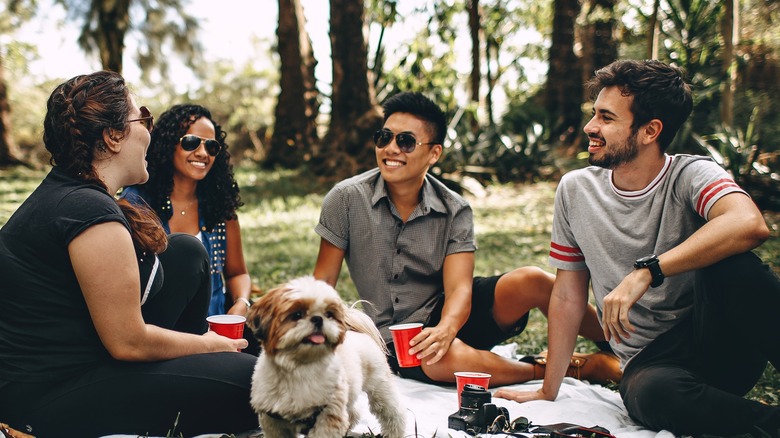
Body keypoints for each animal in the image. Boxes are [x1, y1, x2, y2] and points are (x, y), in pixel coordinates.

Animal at [247, 278, 406, 438]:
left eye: (329, 314)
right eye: (297, 314)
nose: (318, 319)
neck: (300, 368)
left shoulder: (328, 415)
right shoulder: (273, 421)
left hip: (379, 386)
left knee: (392, 412)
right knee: (352, 413)